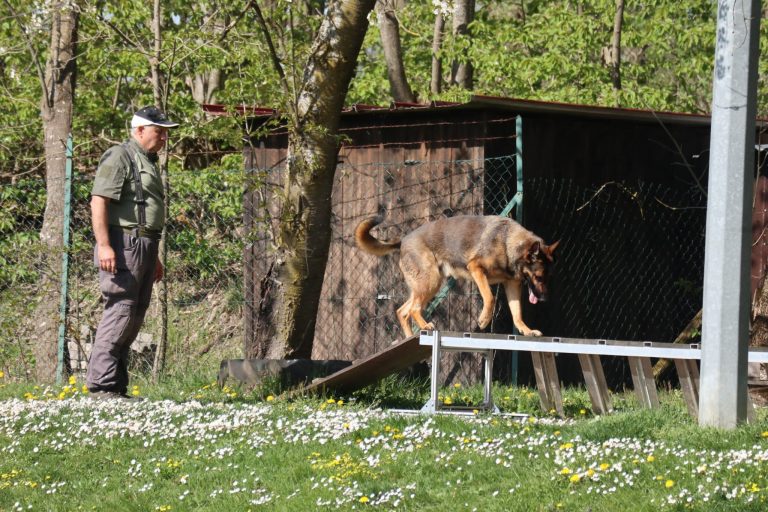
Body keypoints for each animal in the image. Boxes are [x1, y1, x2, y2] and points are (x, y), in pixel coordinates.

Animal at [355, 215, 559, 337]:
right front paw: (484, 319)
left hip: (428, 285)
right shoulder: (476, 268)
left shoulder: (512, 285)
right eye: (539, 277)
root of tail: (403, 241)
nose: (545, 299)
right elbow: (490, 298)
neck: (508, 242)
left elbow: (517, 313)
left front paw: (527, 330)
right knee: (412, 309)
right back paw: (425, 326)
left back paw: (412, 335)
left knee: (402, 311)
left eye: (548, 277)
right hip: (431, 282)